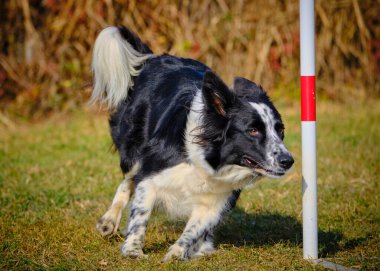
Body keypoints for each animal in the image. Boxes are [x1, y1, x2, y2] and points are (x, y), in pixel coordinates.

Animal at [91, 26, 294, 262]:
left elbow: (195, 229)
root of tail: (153, 58)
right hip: (133, 147)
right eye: (253, 131)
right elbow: (140, 214)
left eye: (280, 130)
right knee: (126, 181)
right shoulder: (151, 175)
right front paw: (133, 250)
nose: (288, 161)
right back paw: (109, 221)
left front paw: (178, 253)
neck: (208, 159)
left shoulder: (218, 198)